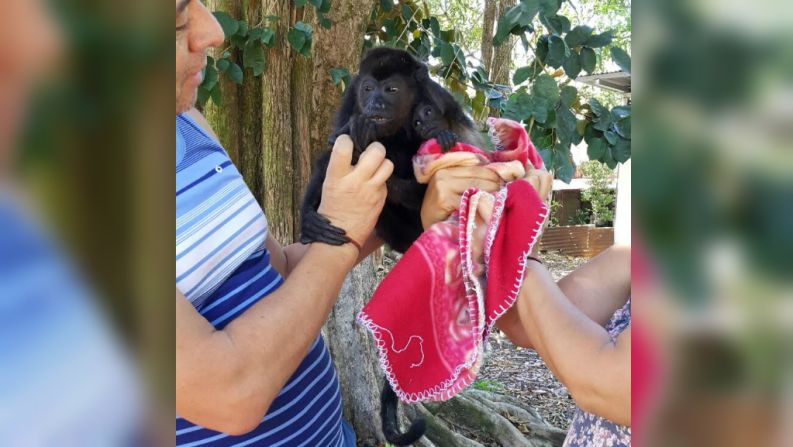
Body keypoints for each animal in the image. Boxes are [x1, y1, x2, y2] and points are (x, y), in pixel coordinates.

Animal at [300, 47, 480, 446]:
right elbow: (332, 148)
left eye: (392, 89)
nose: (374, 104)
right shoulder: (349, 102)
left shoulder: (436, 97)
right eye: (368, 88)